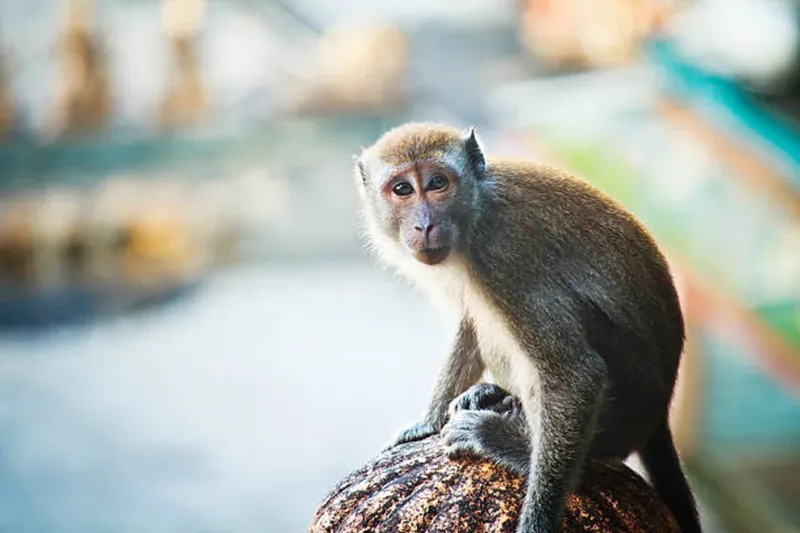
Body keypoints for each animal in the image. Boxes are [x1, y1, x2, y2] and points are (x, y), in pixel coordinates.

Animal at [354, 122, 704, 532]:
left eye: (437, 183)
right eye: (402, 189)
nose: (424, 224)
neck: (476, 212)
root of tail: (659, 415)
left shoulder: (504, 259)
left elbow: (574, 376)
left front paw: (537, 519)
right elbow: (470, 321)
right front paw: (428, 422)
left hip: (620, 416)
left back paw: (508, 442)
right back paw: (494, 395)